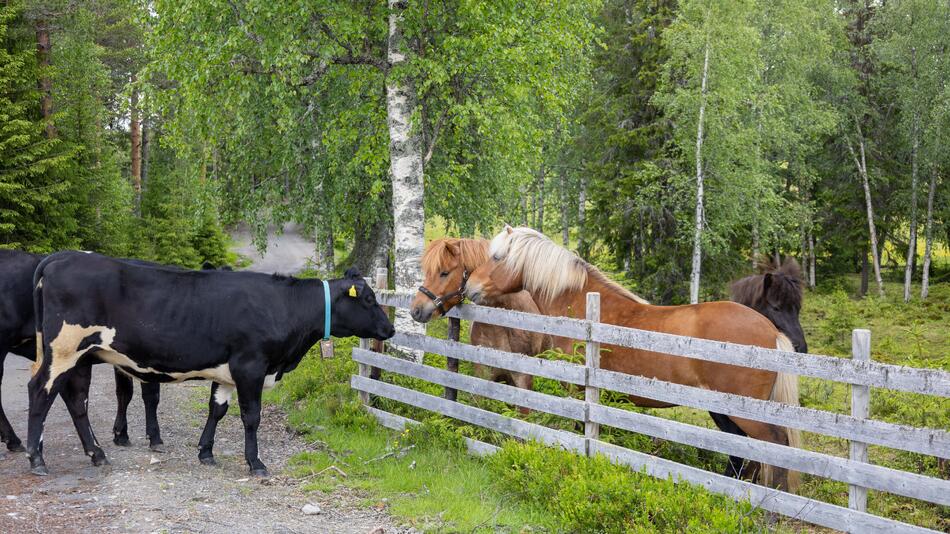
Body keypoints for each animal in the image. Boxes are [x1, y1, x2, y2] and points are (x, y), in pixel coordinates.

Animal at [27, 251, 394, 478]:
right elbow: (251, 417)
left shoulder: (228, 370)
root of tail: (61, 257)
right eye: (368, 299)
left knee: (76, 400)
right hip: (64, 350)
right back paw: (36, 458)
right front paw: (255, 462)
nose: (390, 330)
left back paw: (96, 453)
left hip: (79, 358)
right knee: (40, 392)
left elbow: (216, 409)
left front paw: (205, 452)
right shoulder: (250, 366)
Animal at [468, 227, 804, 494]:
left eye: (497, 257)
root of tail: (771, 331)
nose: (468, 286)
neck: (583, 305)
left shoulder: (579, 392)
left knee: (773, 446)